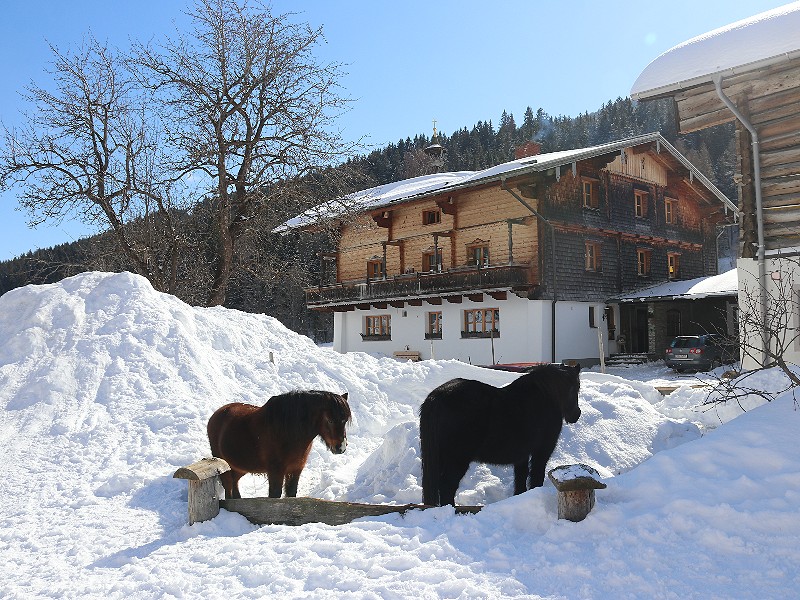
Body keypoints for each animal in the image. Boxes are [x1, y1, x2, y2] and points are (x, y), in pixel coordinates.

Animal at [208, 390, 352, 496]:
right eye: (330, 420)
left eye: (344, 420)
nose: (341, 447)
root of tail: (216, 415)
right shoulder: (275, 471)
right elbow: (275, 496)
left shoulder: (295, 470)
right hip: (225, 467)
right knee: (229, 488)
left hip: (239, 467)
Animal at [418, 364, 580, 504]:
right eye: (576, 389)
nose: (576, 415)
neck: (546, 397)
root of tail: (437, 397)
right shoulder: (541, 452)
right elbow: (536, 477)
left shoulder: (521, 455)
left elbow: (520, 479)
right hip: (457, 460)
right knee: (447, 486)